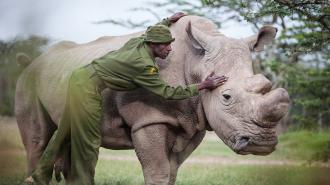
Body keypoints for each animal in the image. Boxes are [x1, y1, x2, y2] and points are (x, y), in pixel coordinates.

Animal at [14, 15, 288, 184]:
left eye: (266, 85)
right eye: (227, 97)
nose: (262, 143)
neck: (195, 61)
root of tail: (31, 63)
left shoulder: (193, 122)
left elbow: (171, 172)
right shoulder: (149, 119)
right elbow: (158, 170)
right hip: (29, 82)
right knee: (38, 141)